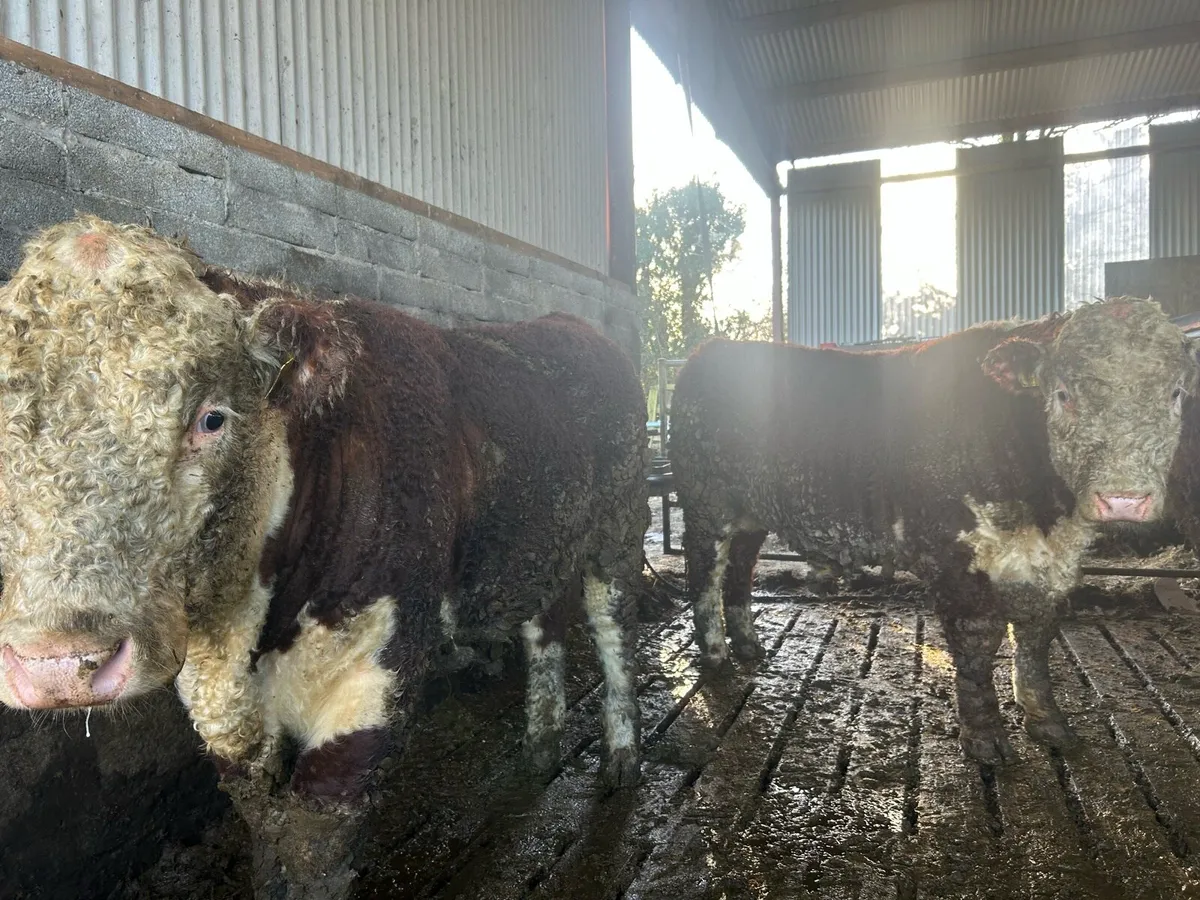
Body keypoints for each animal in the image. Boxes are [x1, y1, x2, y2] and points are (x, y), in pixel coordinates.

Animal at [0, 217, 647, 898]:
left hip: (619, 527)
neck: (250, 631)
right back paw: (541, 747)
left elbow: (317, 839)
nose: (55, 665)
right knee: (546, 627)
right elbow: (266, 828)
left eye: (212, 418)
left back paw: (622, 760)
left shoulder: (374, 664)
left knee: (614, 631)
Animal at [669, 299, 1197, 765]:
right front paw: (984, 738)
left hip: (752, 512)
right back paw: (715, 655)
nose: (1124, 498)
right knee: (705, 572)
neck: (1045, 511)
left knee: (740, 568)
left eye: (1176, 393)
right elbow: (979, 638)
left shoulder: (1051, 559)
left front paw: (1047, 720)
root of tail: (710, 351)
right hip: (704, 501)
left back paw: (748, 646)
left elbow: (1037, 632)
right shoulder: (952, 549)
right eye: (1063, 394)